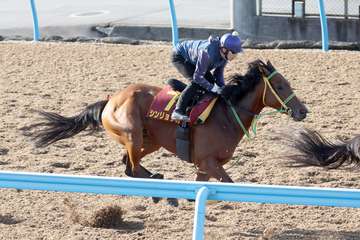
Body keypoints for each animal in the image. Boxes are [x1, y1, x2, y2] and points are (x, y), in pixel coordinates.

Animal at [26, 59, 306, 189]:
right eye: (280, 86)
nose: (303, 111)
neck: (227, 115)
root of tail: (109, 100)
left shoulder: (204, 166)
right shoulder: (209, 163)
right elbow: (229, 184)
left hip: (151, 140)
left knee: (129, 163)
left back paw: (154, 176)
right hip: (132, 134)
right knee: (131, 167)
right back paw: (155, 177)